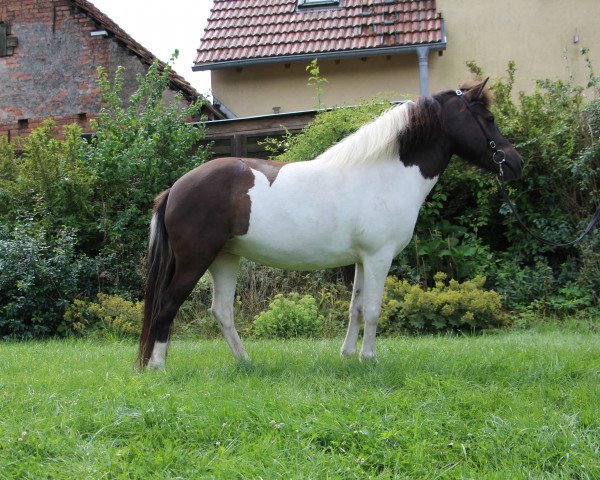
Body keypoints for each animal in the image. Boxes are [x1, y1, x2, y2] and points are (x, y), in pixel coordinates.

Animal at [138, 80, 524, 370]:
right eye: (488, 118)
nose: (516, 163)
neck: (385, 174)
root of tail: (175, 188)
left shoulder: (362, 260)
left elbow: (356, 308)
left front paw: (348, 356)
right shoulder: (379, 258)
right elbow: (374, 309)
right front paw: (370, 359)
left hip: (225, 259)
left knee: (222, 311)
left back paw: (246, 363)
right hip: (196, 260)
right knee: (167, 304)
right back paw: (158, 366)